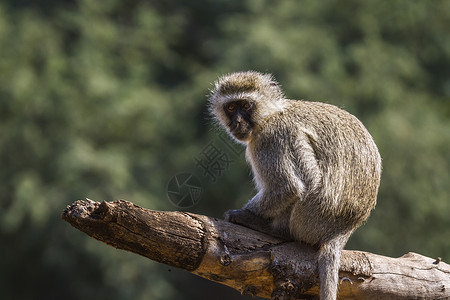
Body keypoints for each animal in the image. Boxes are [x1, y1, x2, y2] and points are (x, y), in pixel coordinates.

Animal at [207, 71, 380, 300]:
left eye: (245, 105)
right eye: (231, 107)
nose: (237, 122)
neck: (271, 115)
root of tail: (344, 229)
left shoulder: (271, 138)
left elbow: (290, 187)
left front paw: (240, 216)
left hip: (310, 219)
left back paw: (274, 230)